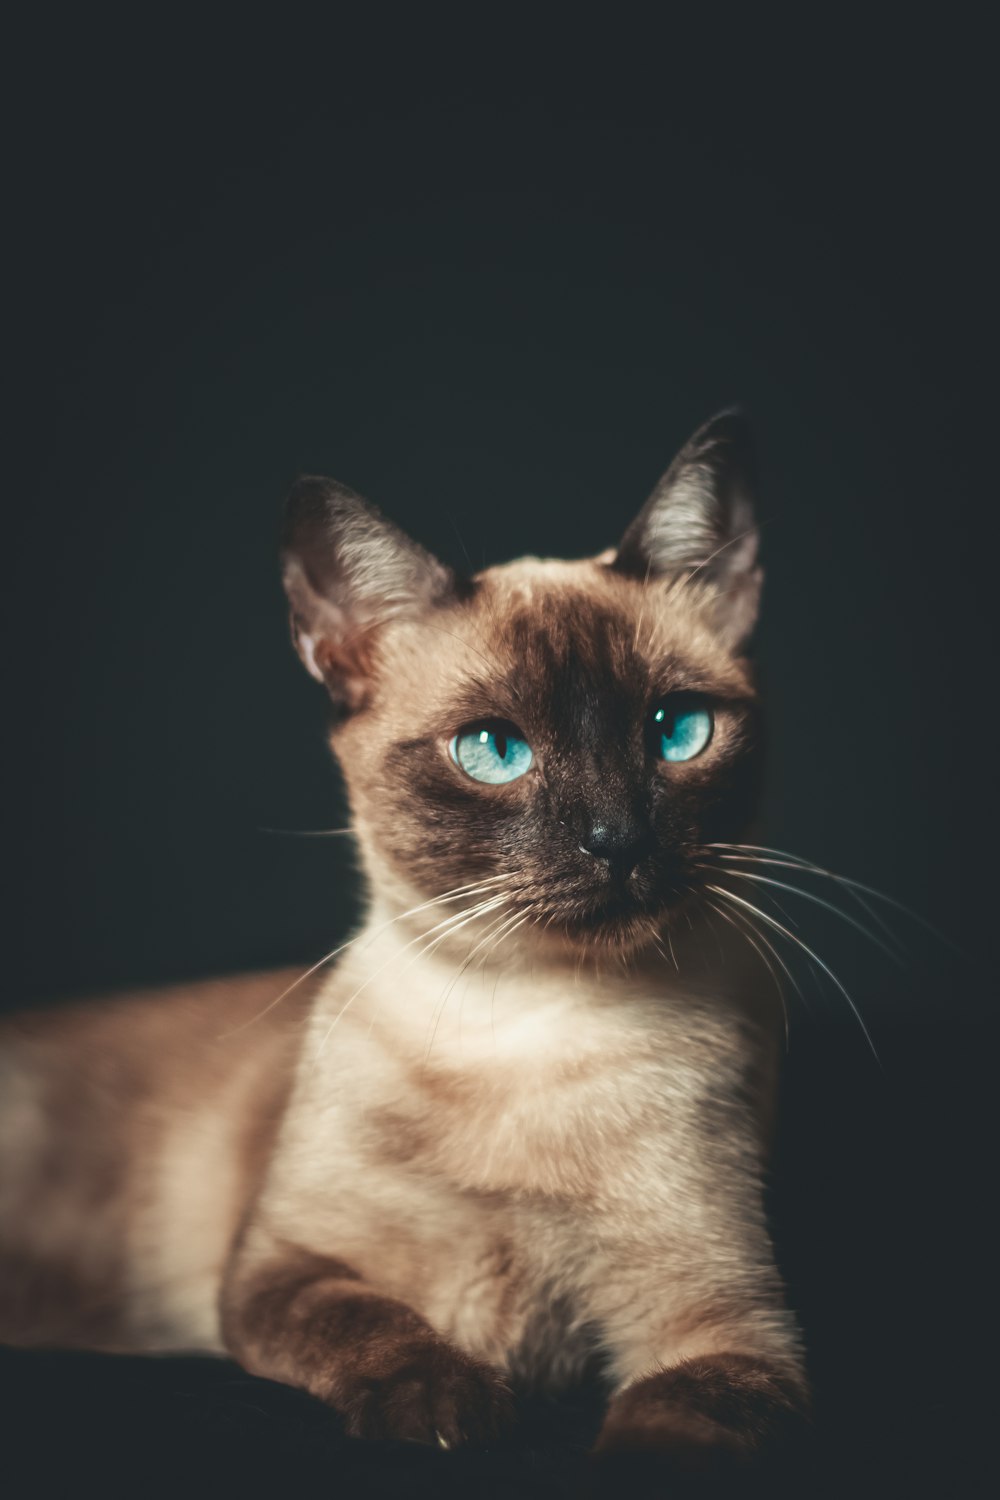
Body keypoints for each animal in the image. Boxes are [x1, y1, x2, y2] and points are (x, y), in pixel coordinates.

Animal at [0, 417, 815, 1482]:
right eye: (494, 752)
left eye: (677, 731)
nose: (618, 842)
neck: (531, 1028)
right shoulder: (282, 1268)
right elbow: (375, 1327)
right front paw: (447, 1410)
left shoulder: (726, 1334)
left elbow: (668, 1437)